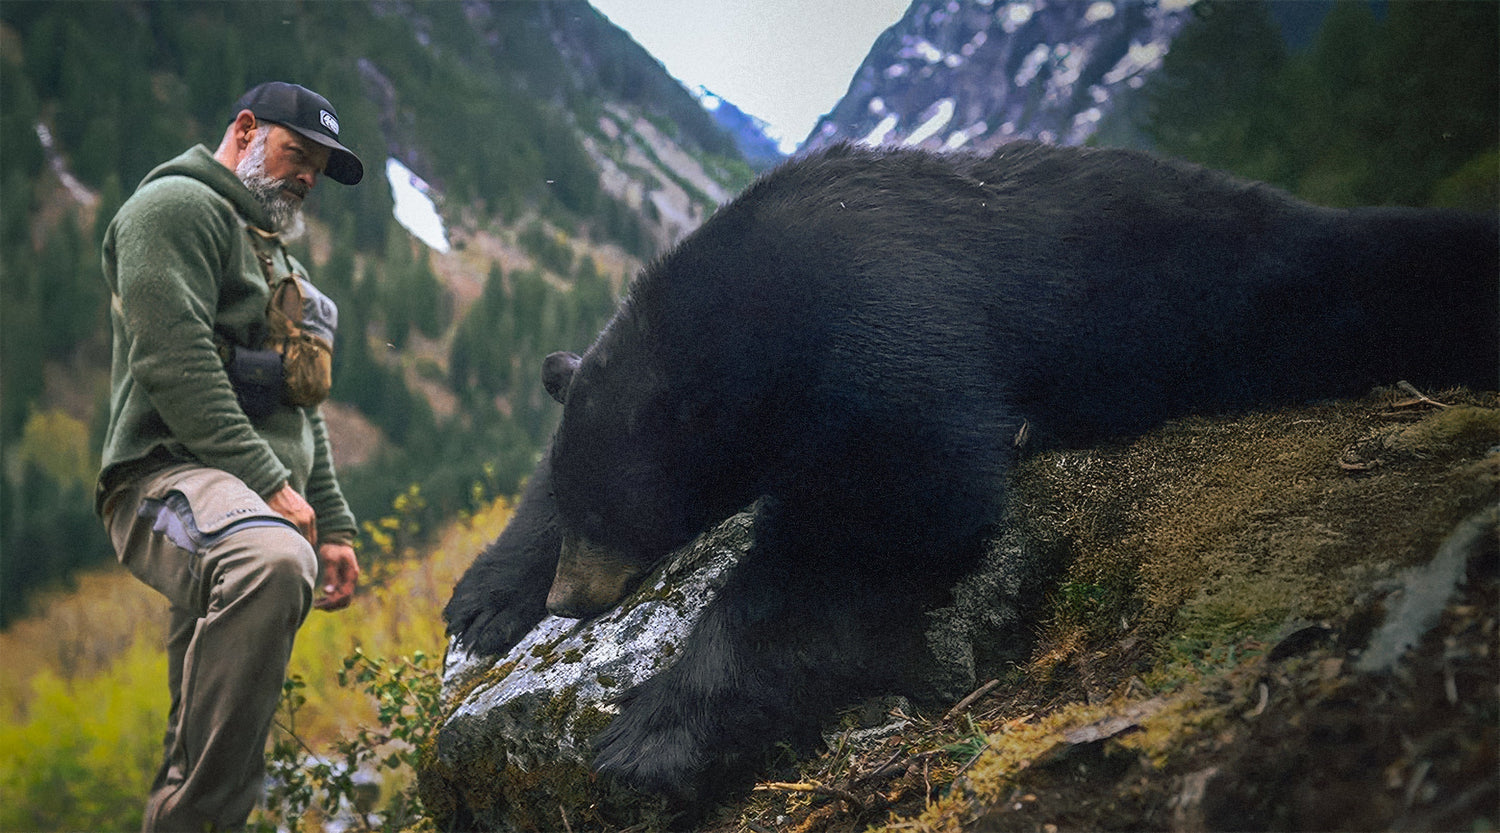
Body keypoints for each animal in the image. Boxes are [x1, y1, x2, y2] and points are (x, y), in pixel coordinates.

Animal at [444, 141, 1498, 806]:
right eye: (581, 504)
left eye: (620, 515)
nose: (571, 599)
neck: (750, 308)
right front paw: (485, 595)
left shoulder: (893, 316)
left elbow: (892, 504)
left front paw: (647, 737)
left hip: (1266, 284)